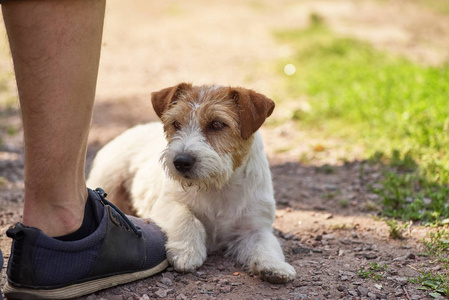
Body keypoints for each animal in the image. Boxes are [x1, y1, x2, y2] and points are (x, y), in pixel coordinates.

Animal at [87, 82, 298, 284]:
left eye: (217, 124)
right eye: (176, 123)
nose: (181, 161)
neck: (218, 186)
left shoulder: (256, 226)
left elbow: (267, 245)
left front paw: (275, 266)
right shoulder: (166, 204)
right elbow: (186, 217)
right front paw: (187, 252)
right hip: (108, 177)